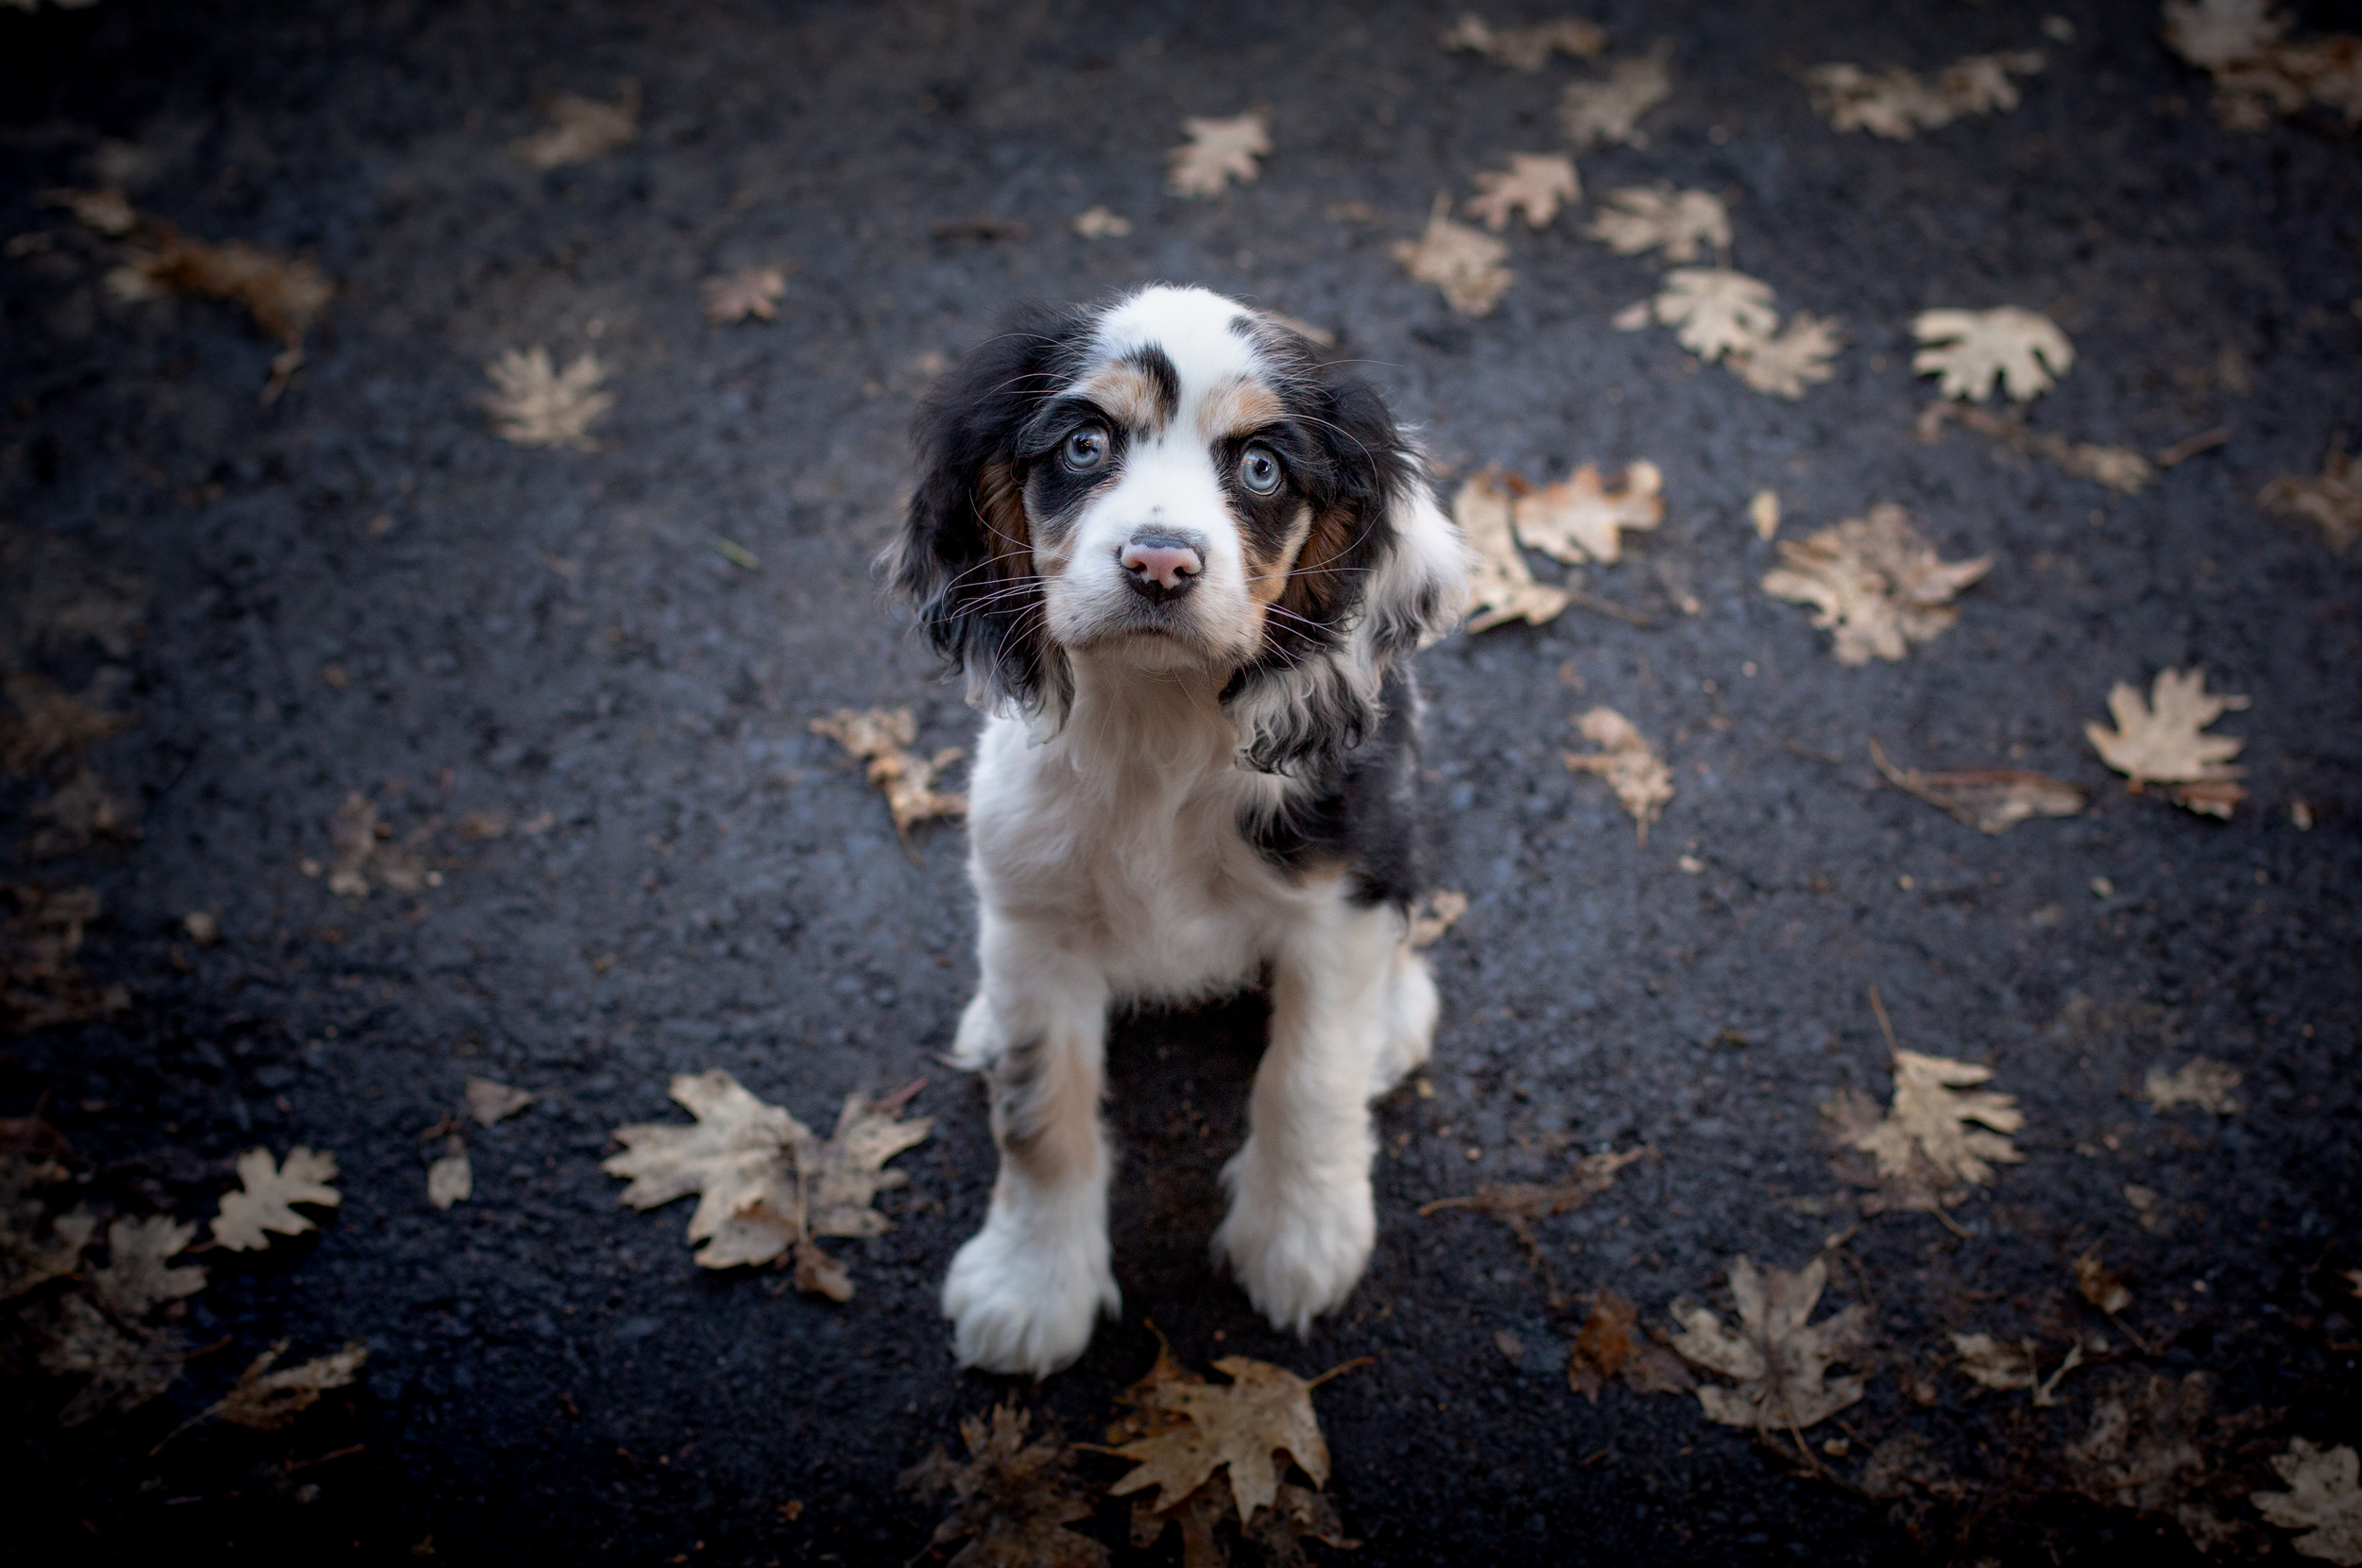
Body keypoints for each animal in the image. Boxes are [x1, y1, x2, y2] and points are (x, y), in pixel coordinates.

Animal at [893, 288, 1464, 1379]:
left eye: (1261, 467)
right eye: (1084, 445)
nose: (1159, 561)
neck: (1158, 729)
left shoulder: (1340, 899)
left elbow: (1308, 1075)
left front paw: (1302, 1241)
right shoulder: (1032, 916)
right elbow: (1040, 1113)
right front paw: (1030, 1288)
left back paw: (1395, 1022)